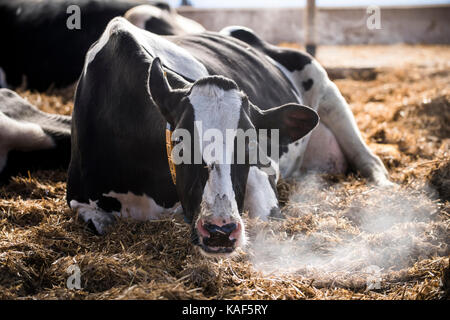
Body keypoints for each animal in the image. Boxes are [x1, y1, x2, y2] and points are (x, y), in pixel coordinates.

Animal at [62, 18, 390, 256]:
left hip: (325, 87)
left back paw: (385, 188)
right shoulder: (81, 202)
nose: (220, 231)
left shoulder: (261, 175)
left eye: (250, 146)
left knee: (368, 157)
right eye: (180, 145)